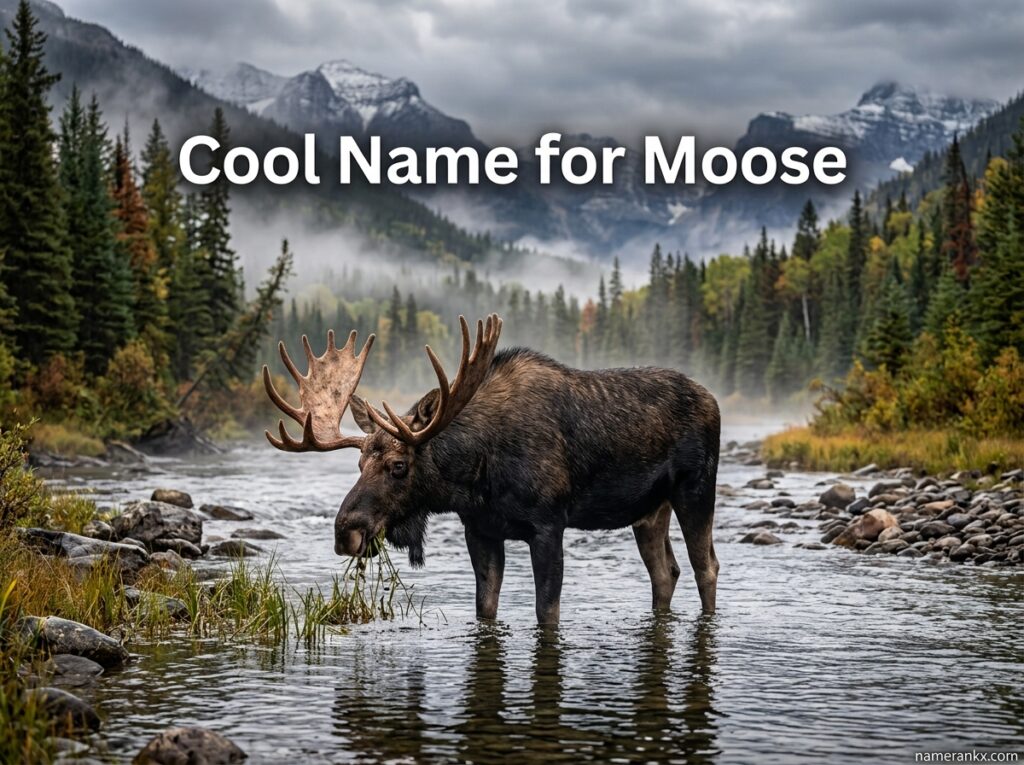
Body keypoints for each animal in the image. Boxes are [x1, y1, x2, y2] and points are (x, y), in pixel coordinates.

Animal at [263, 314, 720, 624]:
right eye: (359, 463)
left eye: (398, 465)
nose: (346, 531)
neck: (475, 475)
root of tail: (713, 400)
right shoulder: (480, 528)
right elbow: (485, 607)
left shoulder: (549, 525)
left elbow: (546, 612)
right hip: (649, 510)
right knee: (665, 572)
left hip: (696, 489)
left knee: (706, 566)